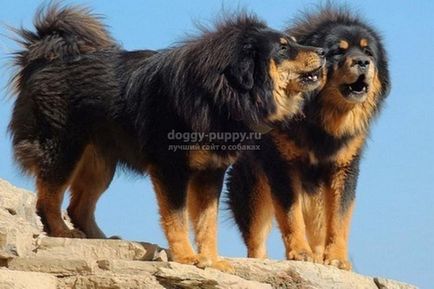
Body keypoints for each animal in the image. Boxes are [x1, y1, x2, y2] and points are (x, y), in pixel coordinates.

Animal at [227, 5, 390, 270]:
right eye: (338, 52)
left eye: (368, 52)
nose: (363, 62)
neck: (322, 120)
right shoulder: (282, 166)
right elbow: (291, 214)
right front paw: (300, 253)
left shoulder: (343, 169)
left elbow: (340, 219)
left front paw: (337, 258)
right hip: (253, 190)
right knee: (256, 240)